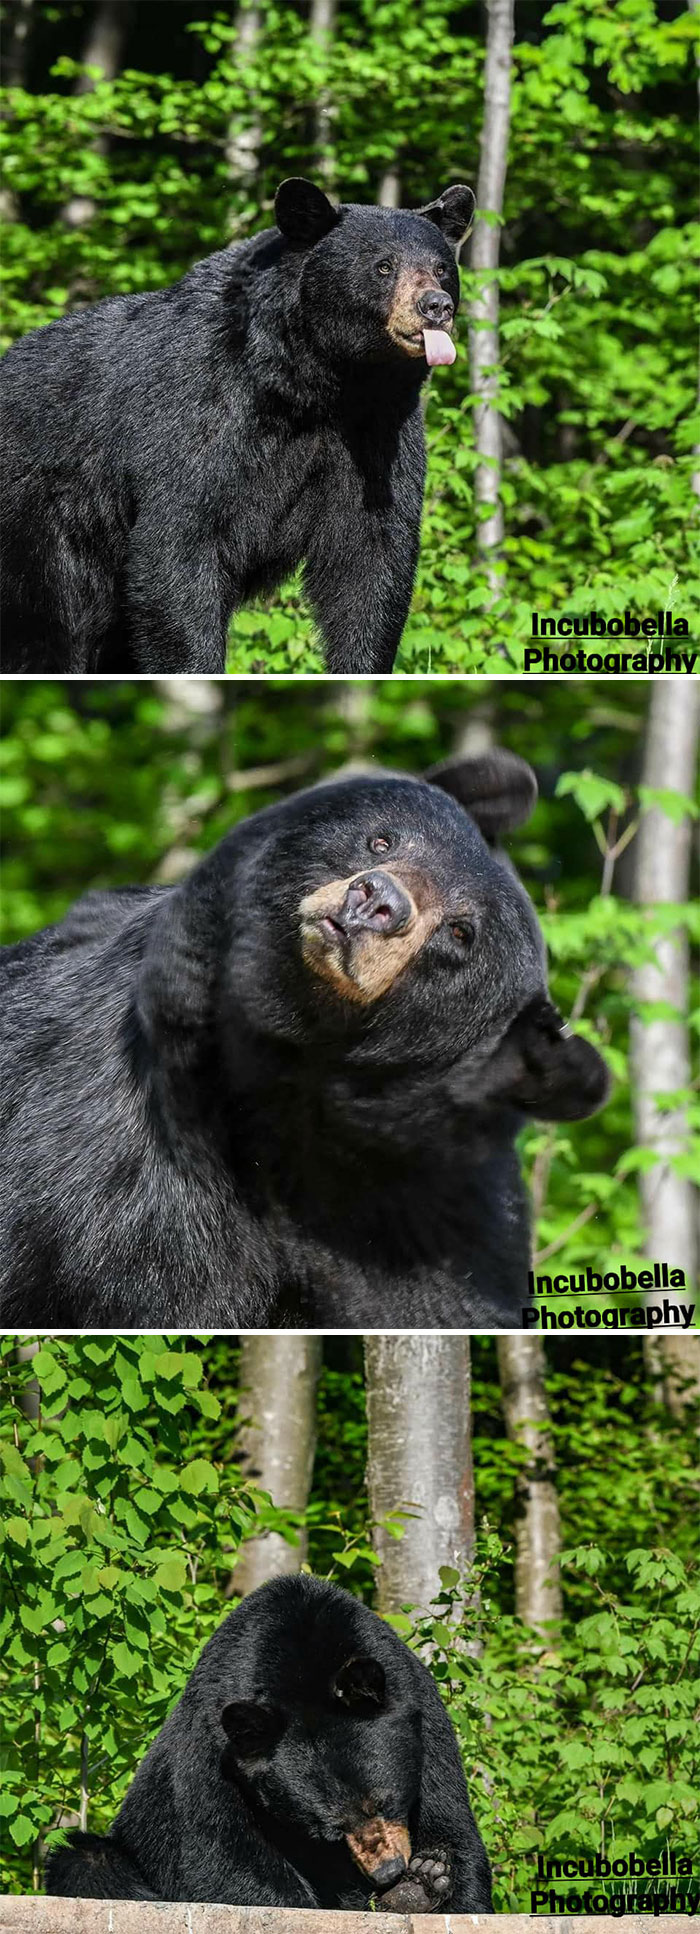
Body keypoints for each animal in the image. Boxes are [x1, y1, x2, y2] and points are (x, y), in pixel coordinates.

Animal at [0, 176, 474, 677]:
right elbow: (179, 544)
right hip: (39, 524)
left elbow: (371, 557)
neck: (315, 383)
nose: (436, 306)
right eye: (383, 266)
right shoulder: (201, 408)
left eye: (442, 269)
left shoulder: (378, 430)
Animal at [46, 1572, 494, 1913]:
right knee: (85, 1861)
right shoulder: (211, 1746)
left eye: (385, 1802)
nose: (389, 1870)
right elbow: (219, 1850)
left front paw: (429, 1877)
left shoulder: (424, 1718)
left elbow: (450, 1819)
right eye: (329, 1830)